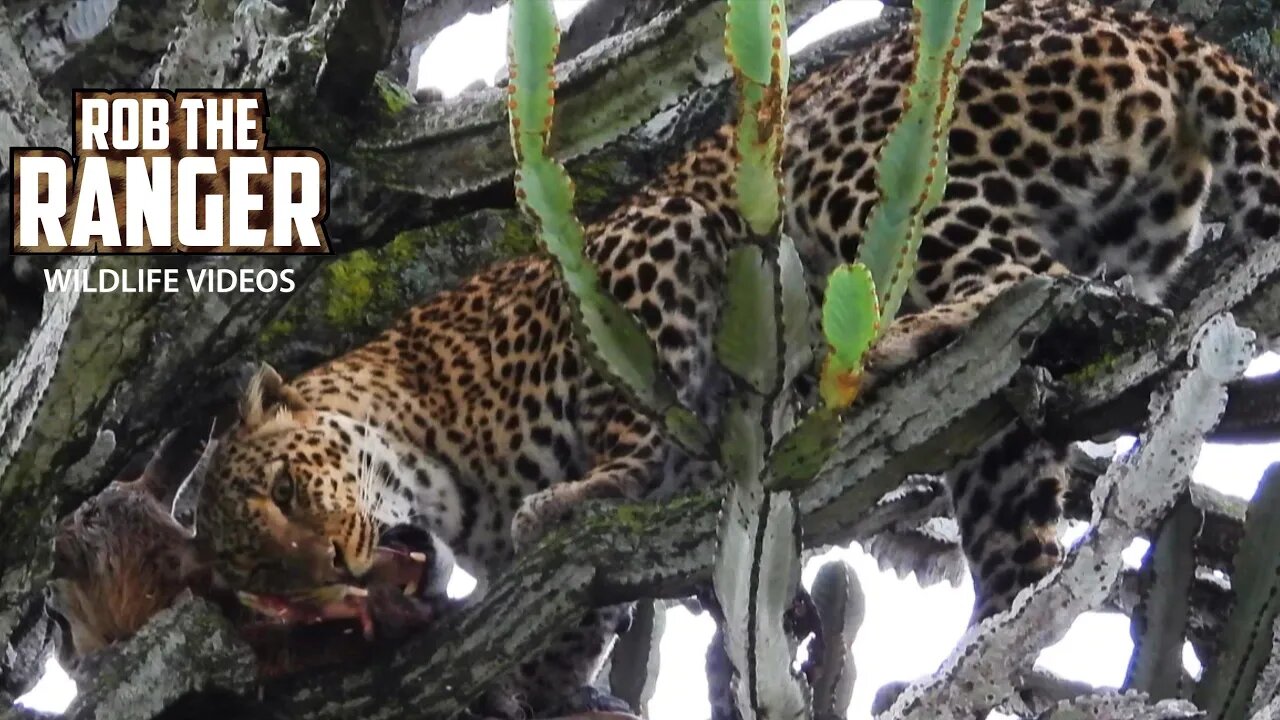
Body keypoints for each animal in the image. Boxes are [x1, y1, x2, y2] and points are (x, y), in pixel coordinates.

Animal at [192, 1, 1280, 712]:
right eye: (266, 581)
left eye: (287, 491)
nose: (337, 563)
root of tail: (1152, 28)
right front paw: (540, 681)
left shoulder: (653, 245)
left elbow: (638, 414)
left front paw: (592, 490)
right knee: (1027, 491)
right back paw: (977, 657)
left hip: (864, 174)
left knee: (1033, 285)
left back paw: (883, 356)